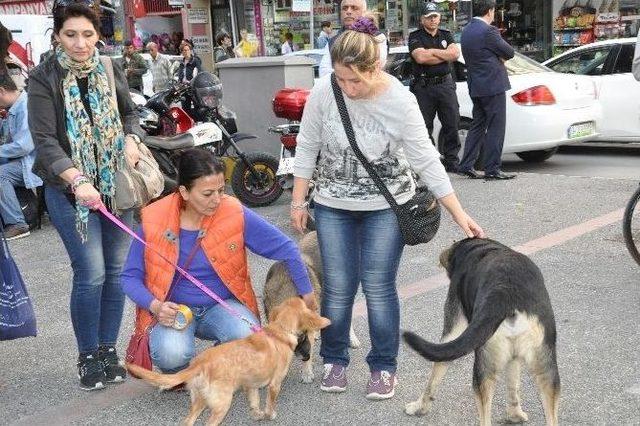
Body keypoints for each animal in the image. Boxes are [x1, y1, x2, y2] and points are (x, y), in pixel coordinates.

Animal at [128, 296, 332, 426]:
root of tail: (200, 363)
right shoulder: (274, 385)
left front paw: (257, 415)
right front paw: (270, 415)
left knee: (188, 421)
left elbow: (255, 402)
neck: (278, 332)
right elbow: (270, 404)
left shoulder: (251, 386)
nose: (307, 356)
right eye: (304, 336)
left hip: (200, 399)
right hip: (221, 403)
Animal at [404, 238, 560, 426]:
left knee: (485, 417)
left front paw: (420, 406)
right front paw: (515, 414)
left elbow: (435, 374)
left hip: (483, 369)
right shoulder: (514, 357)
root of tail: (506, 294)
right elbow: (513, 384)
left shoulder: (452, 330)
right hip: (547, 372)